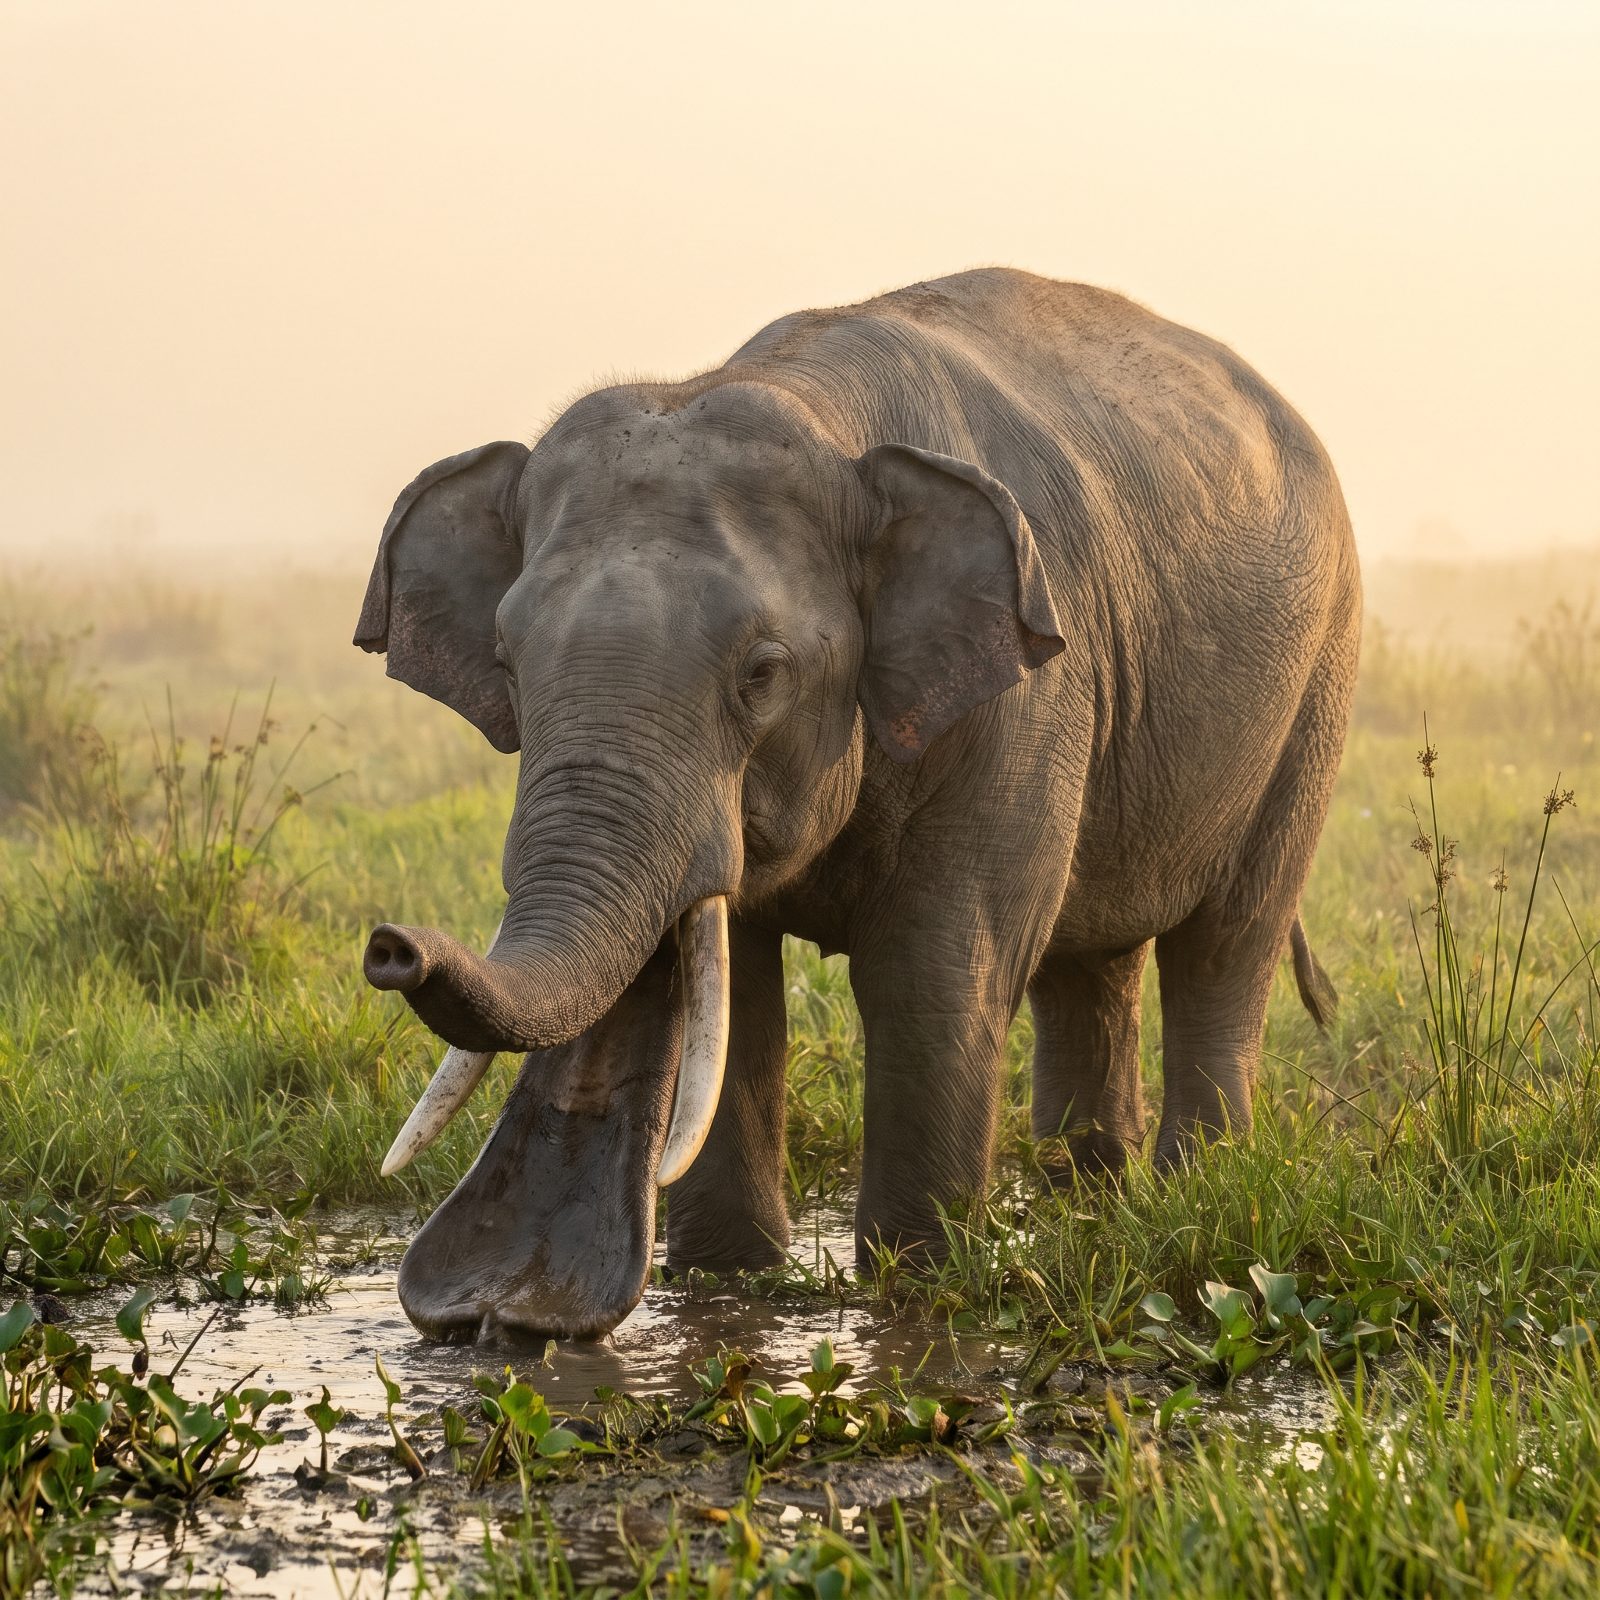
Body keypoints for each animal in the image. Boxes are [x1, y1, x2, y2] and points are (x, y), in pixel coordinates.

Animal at [354, 268, 1360, 1343]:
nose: (391, 946)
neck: (816, 410)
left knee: (1225, 944)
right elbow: (742, 993)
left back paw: (1190, 1192)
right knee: (1088, 964)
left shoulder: (1027, 692)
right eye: (507, 661)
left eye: (761, 674)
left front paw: (918, 1281)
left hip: (1316, 684)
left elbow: (933, 972)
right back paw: (1088, 1199)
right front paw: (729, 1280)